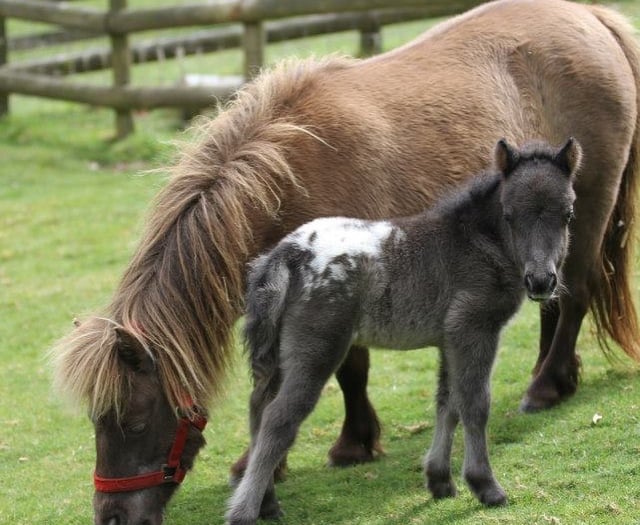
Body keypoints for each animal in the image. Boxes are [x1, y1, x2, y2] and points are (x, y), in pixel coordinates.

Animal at [51, 1, 640, 524]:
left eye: (133, 420)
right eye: (97, 421)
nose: (111, 518)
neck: (288, 172)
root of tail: (592, 17)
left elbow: (351, 371)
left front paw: (353, 443)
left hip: (586, 212)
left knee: (574, 295)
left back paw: (545, 386)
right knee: (552, 303)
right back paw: (554, 377)